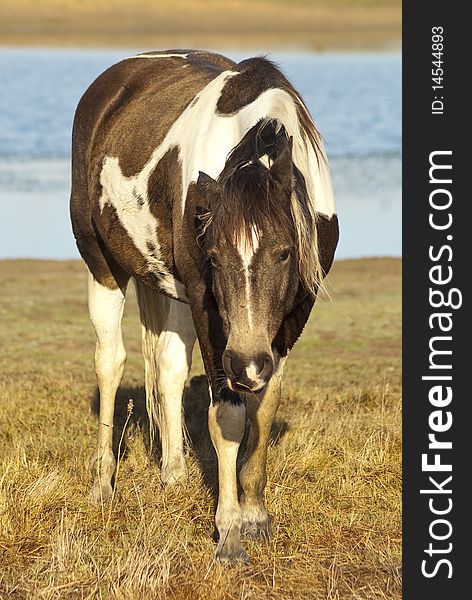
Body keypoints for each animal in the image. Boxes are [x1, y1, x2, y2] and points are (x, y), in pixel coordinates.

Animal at [70, 50, 340, 564]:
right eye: (214, 256)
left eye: (285, 253)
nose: (247, 362)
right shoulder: (208, 306)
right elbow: (228, 416)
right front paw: (230, 532)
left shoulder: (292, 318)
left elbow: (264, 408)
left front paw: (255, 514)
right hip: (103, 265)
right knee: (109, 363)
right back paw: (103, 484)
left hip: (173, 292)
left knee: (170, 368)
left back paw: (174, 475)